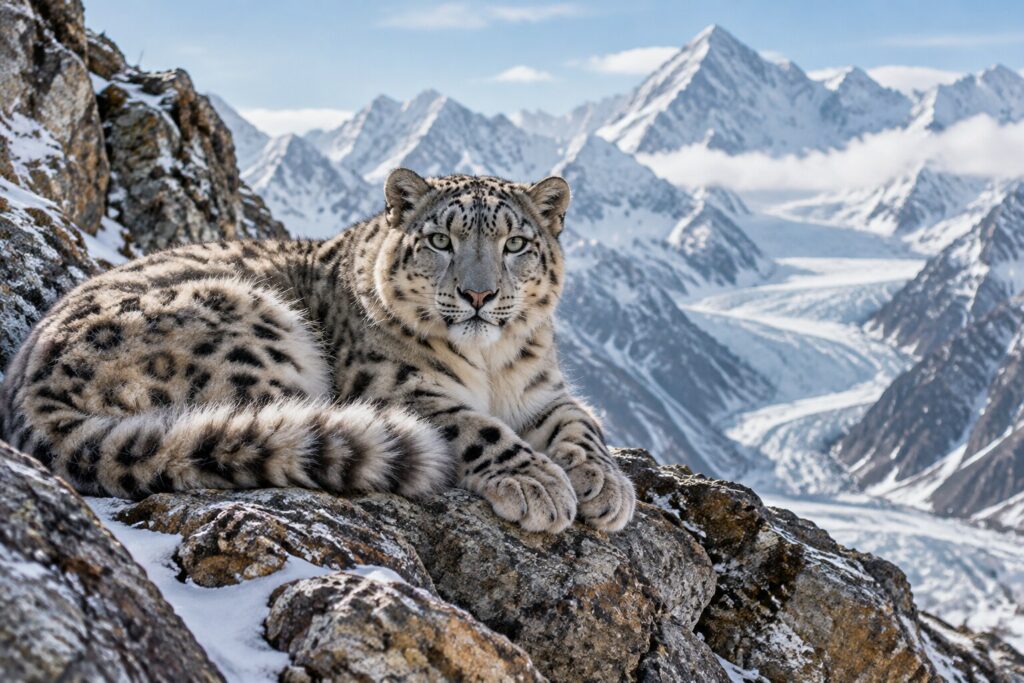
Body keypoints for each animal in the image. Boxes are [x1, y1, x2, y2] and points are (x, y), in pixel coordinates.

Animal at [0, 169, 636, 533]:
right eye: (439, 239)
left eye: (517, 244)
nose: (477, 294)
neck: (491, 366)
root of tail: (27, 395)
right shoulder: (396, 386)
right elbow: (476, 427)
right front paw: (538, 484)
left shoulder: (542, 391)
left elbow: (581, 424)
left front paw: (605, 487)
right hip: (255, 325)